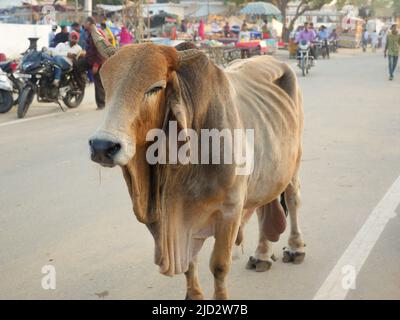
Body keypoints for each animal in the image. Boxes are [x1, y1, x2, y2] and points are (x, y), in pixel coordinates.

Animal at [89, 43, 304, 300]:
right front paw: (193, 295)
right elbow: (189, 263)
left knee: (292, 200)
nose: (102, 146)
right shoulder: (182, 220)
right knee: (264, 206)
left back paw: (295, 248)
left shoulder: (230, 211)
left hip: (294, 162)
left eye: (155, 88)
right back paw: (261, 254)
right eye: (106, 84)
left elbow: (219, 266)